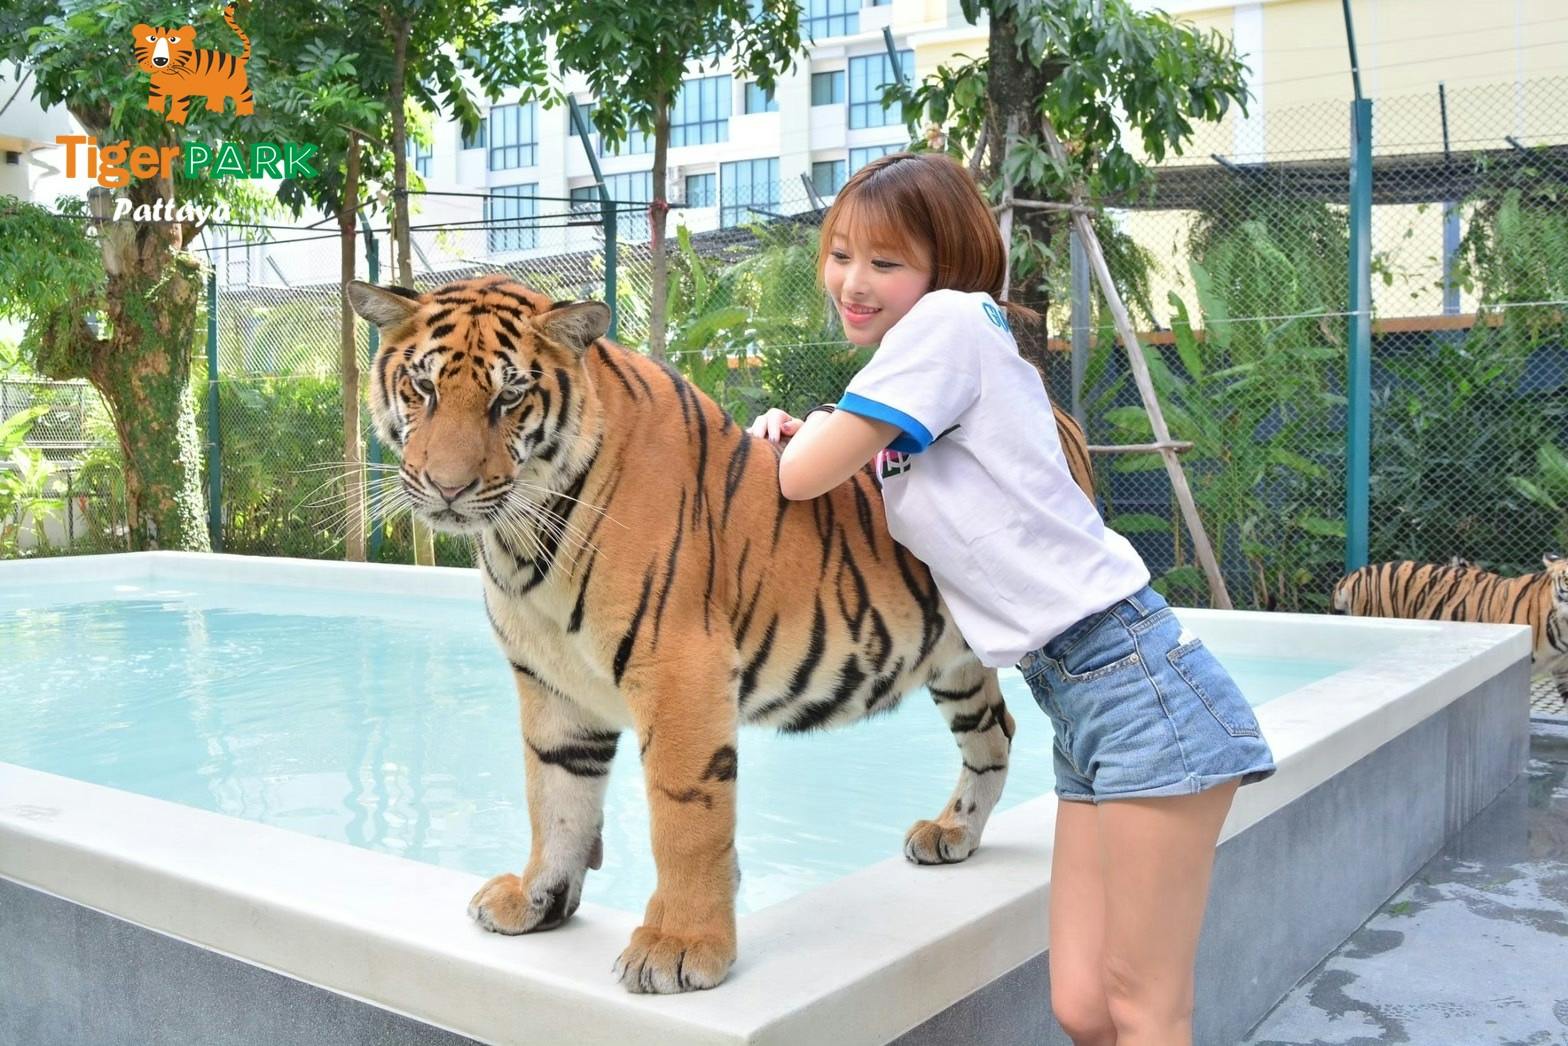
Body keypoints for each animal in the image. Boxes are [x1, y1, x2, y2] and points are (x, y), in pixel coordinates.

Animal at [346, 273, 1098, 994]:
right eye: (422, 388)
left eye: (510, 398)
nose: (447, 488)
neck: (522, 539)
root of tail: (1060, 412)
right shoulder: (551, 682)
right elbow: (555, 797)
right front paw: (537, 902)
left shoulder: (678, 668)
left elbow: (685, 817)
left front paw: (679, 948)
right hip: (955, 660)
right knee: (994, 731)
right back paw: (953, 832)